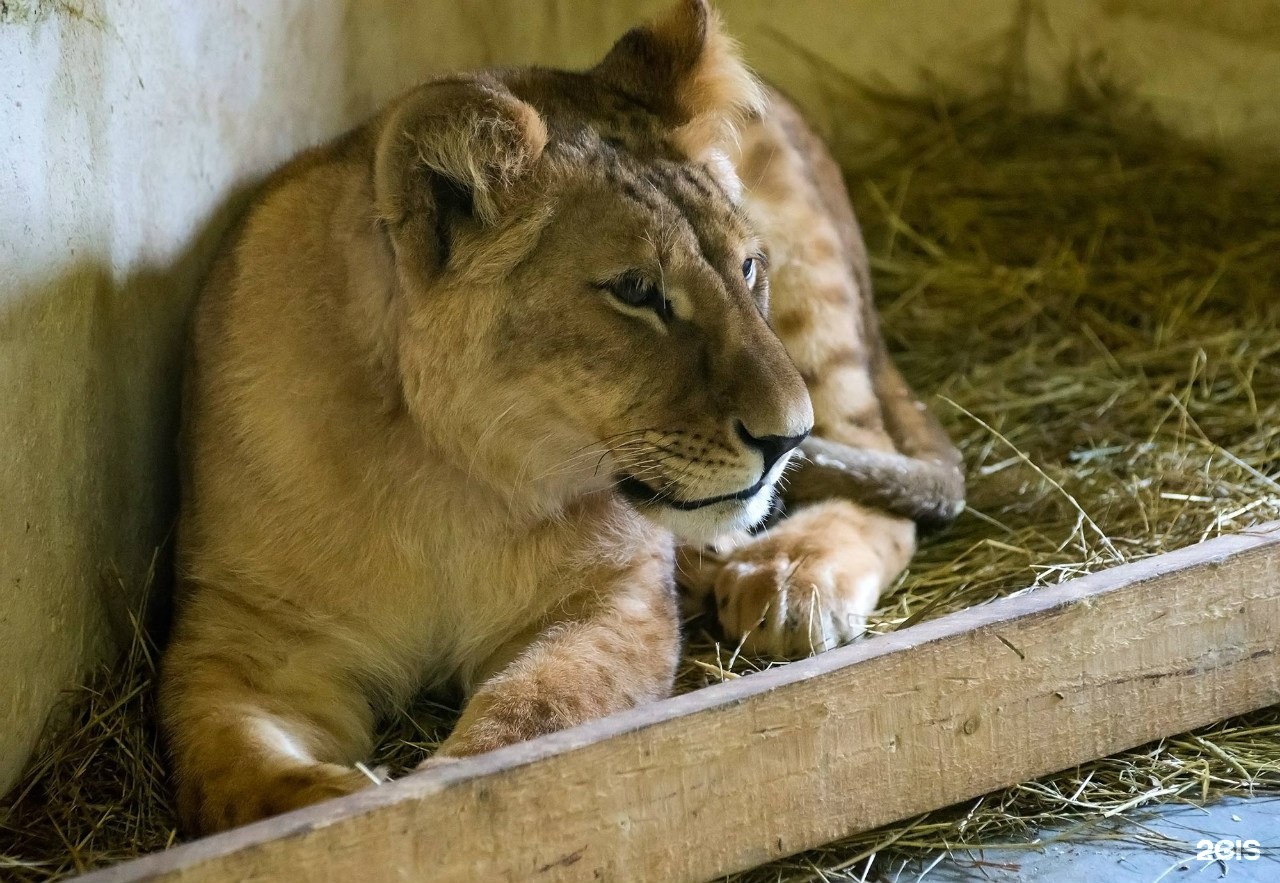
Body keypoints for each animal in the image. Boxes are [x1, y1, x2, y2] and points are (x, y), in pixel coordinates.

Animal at [162, 0, 962, 834]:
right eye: (637, 291)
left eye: (748, 268)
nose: (786, 438)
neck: (436, 474)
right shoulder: (253, 632)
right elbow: (225, 762)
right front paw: (337, 806)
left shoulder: (615, 599)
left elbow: (531, 722)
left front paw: (432, 803)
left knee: (873, 461)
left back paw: (787, 577)